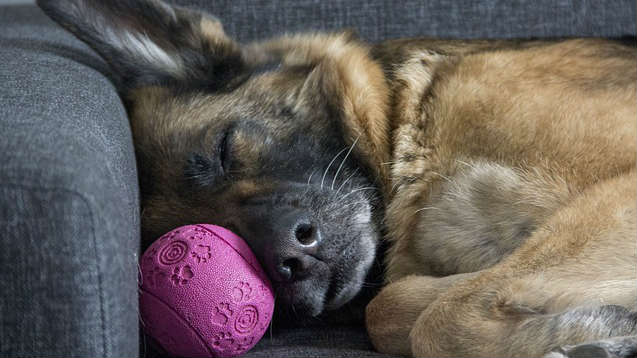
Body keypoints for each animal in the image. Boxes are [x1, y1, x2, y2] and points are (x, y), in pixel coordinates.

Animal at [39, 0, 636, 356]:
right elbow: (394, 309)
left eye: (224, 149)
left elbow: (442, 317)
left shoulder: (620, 191)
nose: (291, 260)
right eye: (196, 234)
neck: (405, 118)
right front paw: (603, 331)